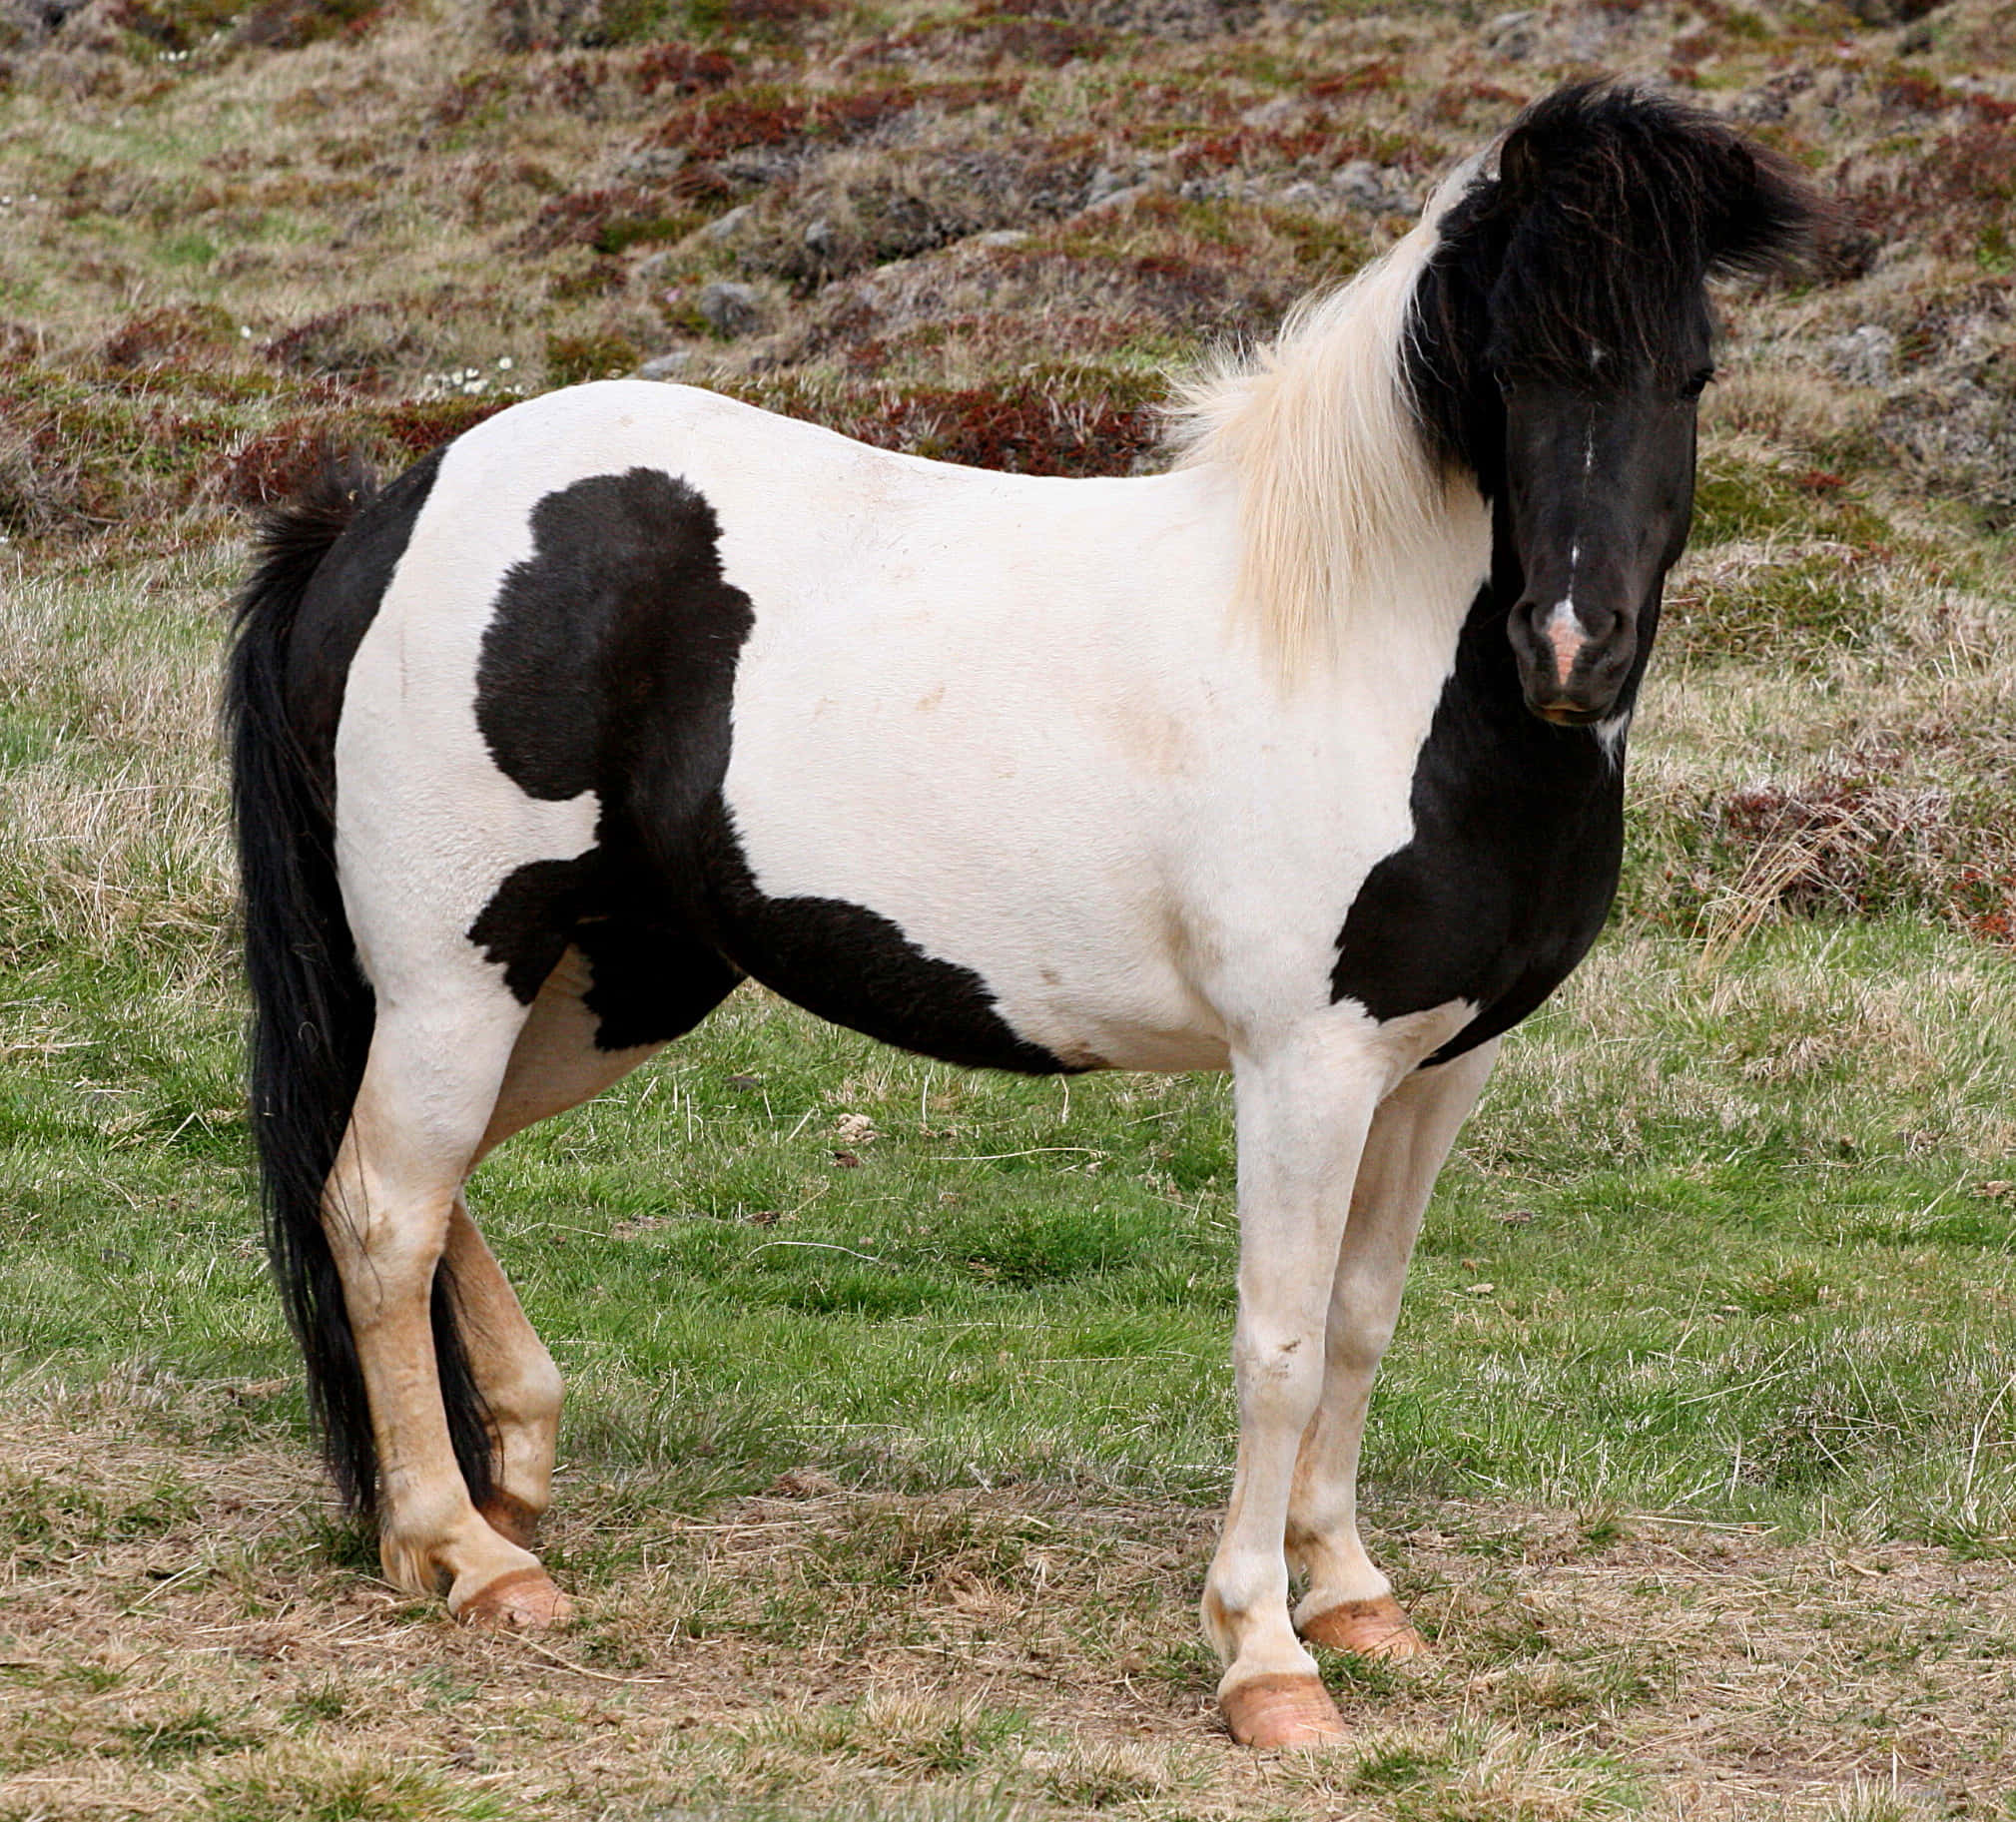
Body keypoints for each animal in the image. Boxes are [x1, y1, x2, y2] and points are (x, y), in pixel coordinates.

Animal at [226, 82, 1816, 1749]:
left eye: (1690, 370)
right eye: (1508, 369)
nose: (1572, 648)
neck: (1363, 650)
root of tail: (381, 515)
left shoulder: (1438, 1064)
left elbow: (1362, 1321)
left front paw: (1354, 1599)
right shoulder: (1303, 1066)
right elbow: (1277, 1344)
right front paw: (1263, 1657)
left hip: (607, 979)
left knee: (410, 1173)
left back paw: (503, 1483)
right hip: (459, 968)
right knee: (380, 1207)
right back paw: (465, 1555)